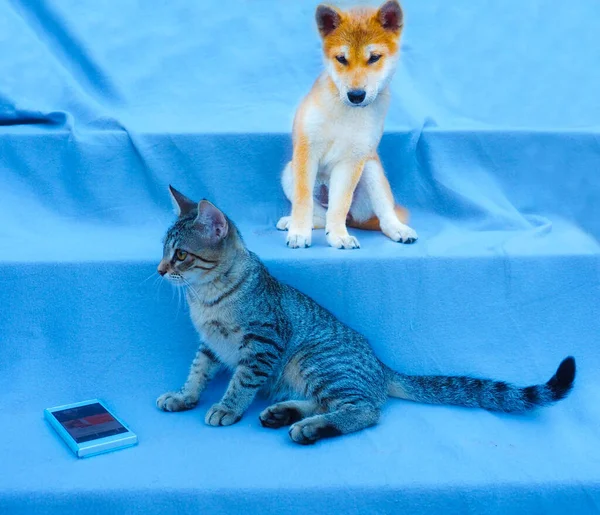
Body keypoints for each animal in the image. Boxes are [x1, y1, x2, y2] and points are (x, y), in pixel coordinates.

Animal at [156, 187, 576, 446]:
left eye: (181, 255)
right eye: (163, 251)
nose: (159, 270)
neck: (205, 299)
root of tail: (381, 365)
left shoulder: (262, 342)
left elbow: (241, 382)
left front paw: (227, 407)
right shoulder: (210, 345)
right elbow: (197, 372)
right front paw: (183, 396)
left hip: (315, 359)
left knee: (364, 410)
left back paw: (307, 428)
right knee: (336, 403)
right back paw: (286, 413)